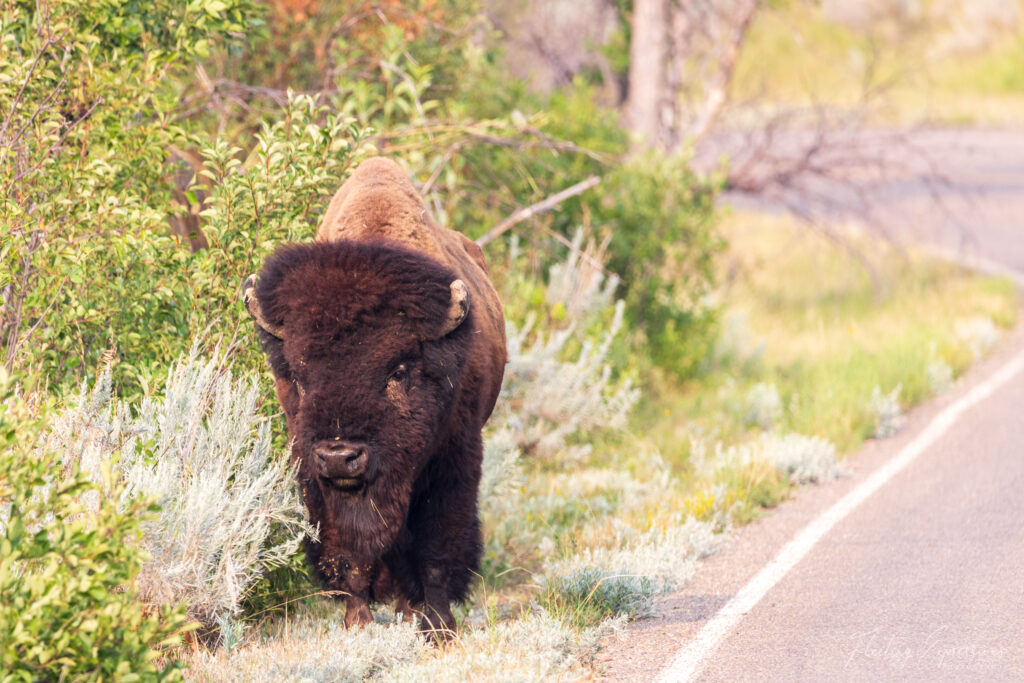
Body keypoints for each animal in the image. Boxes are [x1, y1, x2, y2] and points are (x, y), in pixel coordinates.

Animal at [244, 157, 507, 638]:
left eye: (398, 371)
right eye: (299, 375)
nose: (339, 456)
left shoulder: (453, 463)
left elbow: (436, 548)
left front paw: (439, 629)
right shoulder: (316, 479)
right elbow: (347, 550)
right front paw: (358, 623)